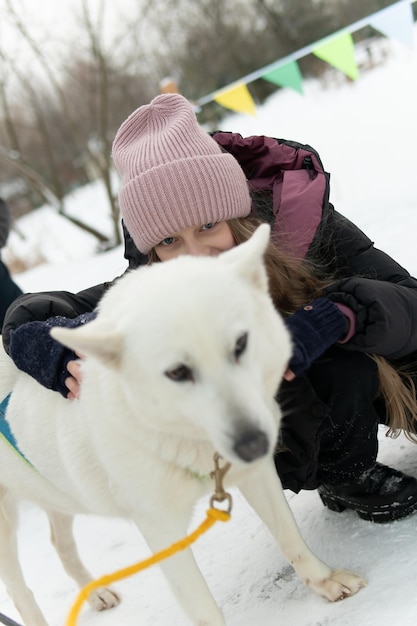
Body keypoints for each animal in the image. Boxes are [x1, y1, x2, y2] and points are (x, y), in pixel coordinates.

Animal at [0, 225, 364, 624]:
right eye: (177, 372)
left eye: (241, 344)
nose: (253, 444)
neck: (190, 443)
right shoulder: (163, 531)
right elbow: (204, 609)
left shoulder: (256, 475)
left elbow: (289, 537)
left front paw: (324, 580)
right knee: (19, 591)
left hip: (57, 492)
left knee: (60, 543)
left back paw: (95, 593)